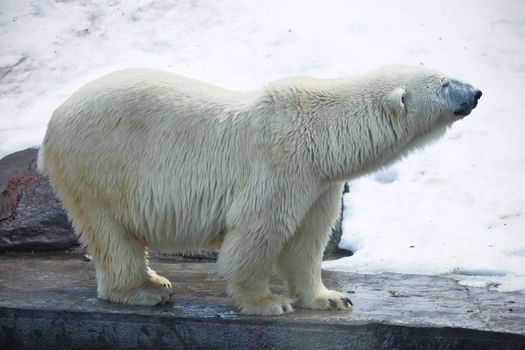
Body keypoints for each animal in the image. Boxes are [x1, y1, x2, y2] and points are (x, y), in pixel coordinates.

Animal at [35, 64, 478, 316]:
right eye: (445, 83)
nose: (476, 92)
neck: (324, 134)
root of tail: (52, 122)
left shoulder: (320, 182)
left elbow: (308, 240)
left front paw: (330, 298)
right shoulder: (282, 164)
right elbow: (259, 231)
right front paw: (268, 302)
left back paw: (154, 282)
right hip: (100, 163)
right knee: (111, 232)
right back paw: (145, 290)